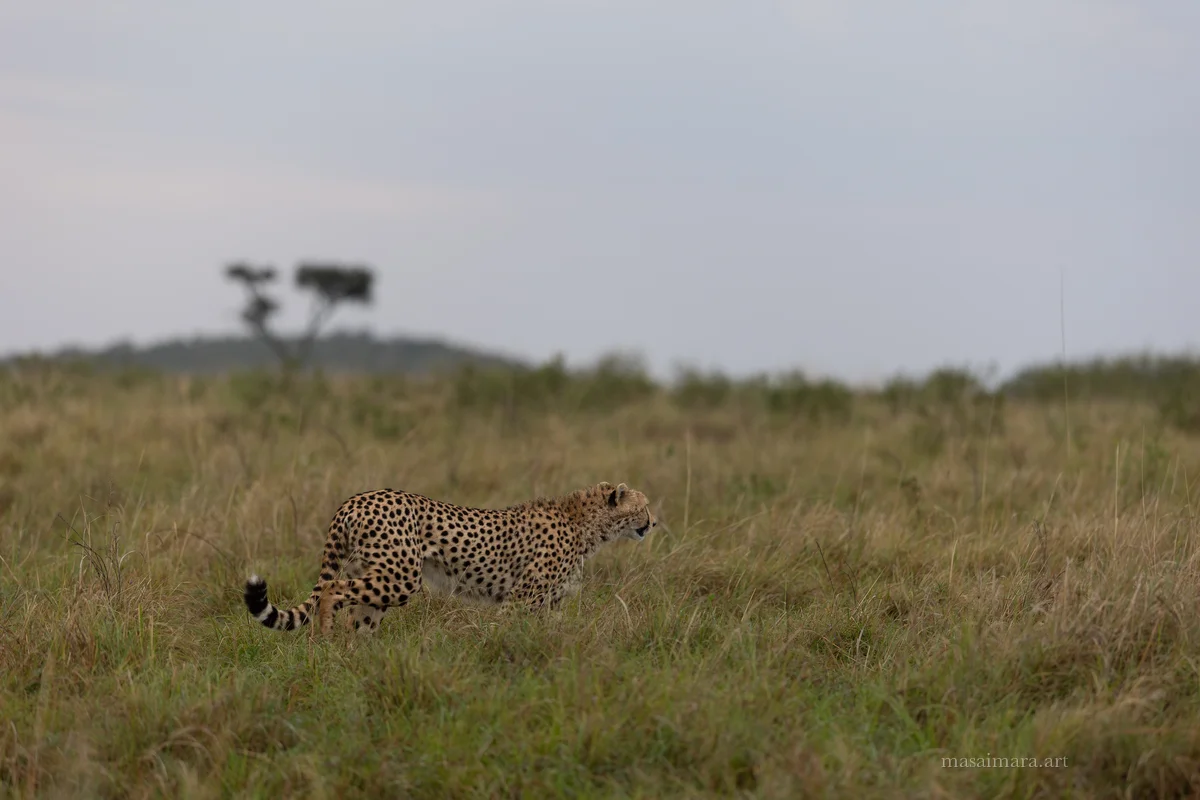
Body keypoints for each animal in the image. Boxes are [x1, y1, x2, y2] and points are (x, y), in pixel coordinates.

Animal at [243, 481, 656, 635]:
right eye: (645, 506)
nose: (654, 522)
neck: (587, 523)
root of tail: (357, 497)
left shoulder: (546, 606)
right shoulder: (521, 599)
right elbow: (506, 635)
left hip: (378, 576)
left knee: (357, 617)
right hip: (402, 576)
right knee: (333, 592)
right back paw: (326, 640)